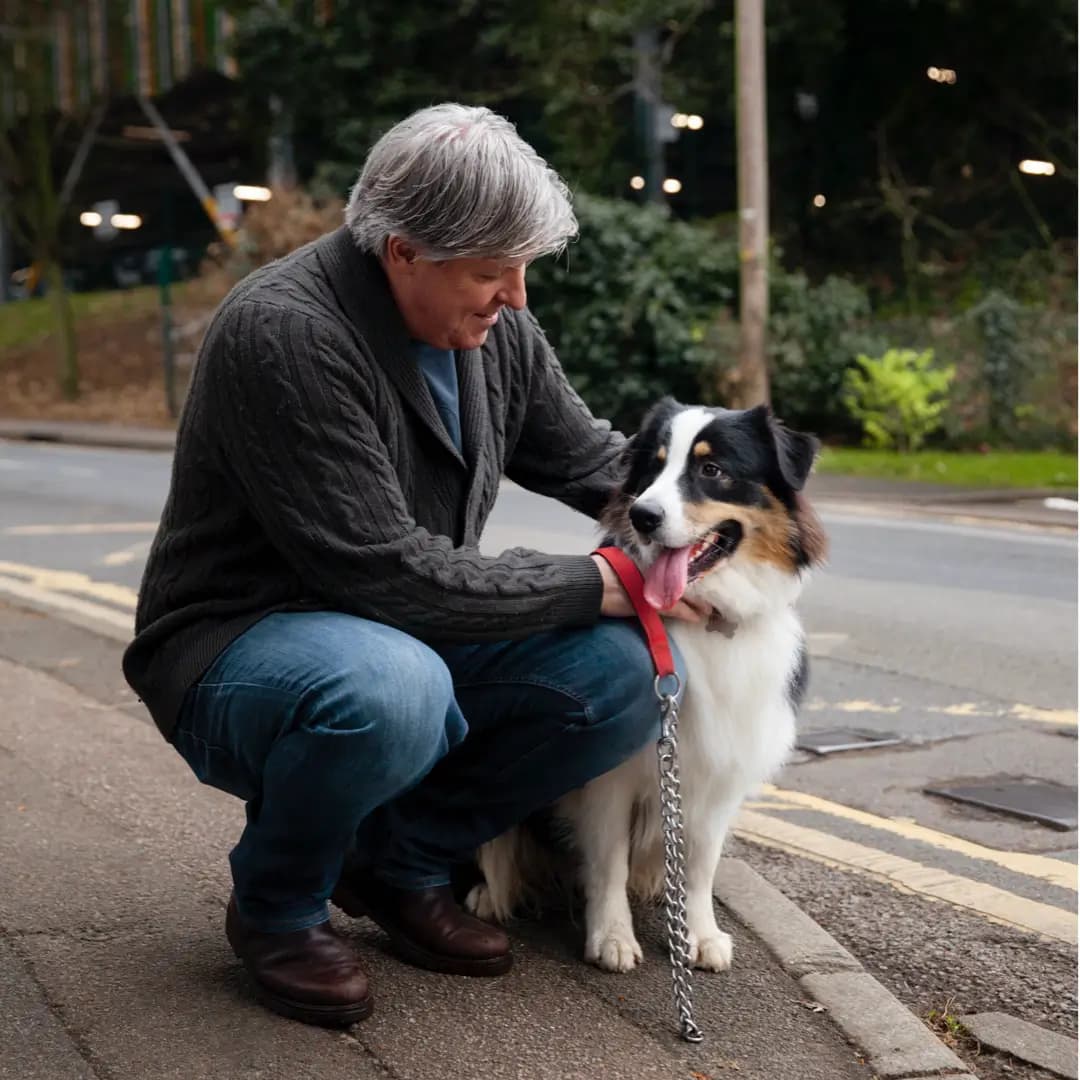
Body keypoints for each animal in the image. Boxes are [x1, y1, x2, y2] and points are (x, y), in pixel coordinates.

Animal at [466, 401, 825, 976]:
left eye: (711, 469)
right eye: (653, 467)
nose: (643, 516)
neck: (705, 622)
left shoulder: (718, 774)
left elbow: (702, 863)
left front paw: (700, 934)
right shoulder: (609, 778)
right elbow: (608, 860)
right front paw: (611, 936)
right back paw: (486, 895)